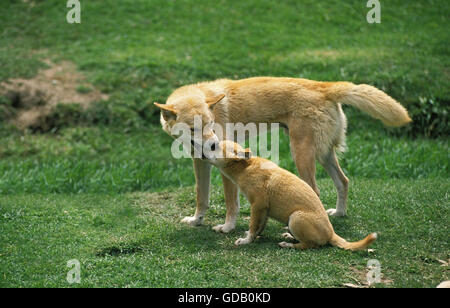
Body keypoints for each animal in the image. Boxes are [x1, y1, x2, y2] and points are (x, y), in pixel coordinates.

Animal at [156, 76, 412, 231]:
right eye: (193, 128)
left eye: (210, 124)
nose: (214, 144)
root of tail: (324, 86)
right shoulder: (200, 163)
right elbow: (202, 197)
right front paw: (196, 220)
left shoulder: (224, 170)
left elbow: (231, 203)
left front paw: (227, 228)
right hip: (323, 154)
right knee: (343, 181)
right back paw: (339, 213)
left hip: (302, 154)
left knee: (316, 190)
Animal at [207, 141, 376, 251]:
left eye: (214, 146)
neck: (245, 167)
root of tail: (331, 233)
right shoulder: (264, 210)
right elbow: (259, 227)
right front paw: (252, 236)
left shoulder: (258, 205)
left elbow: (254, 225)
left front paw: (246, 241)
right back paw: (289, 236)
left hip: (295, 218)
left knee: (310, 245)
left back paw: (288, 244)